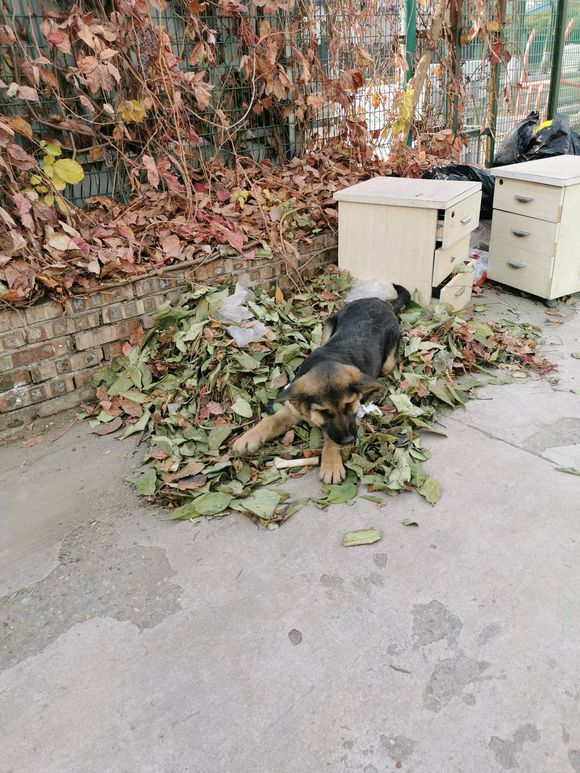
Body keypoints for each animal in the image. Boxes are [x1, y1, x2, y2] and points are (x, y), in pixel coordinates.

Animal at [233, 286, 410, 482]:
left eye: (349, 405)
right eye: (324, 412)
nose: (349, 441)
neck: (325, 362)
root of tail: (381, 302)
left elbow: (330, 438)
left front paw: (331, 464)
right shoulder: (293, 409)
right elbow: (270, 420)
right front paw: (248, 438)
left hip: (387, 362)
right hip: (328, 328)